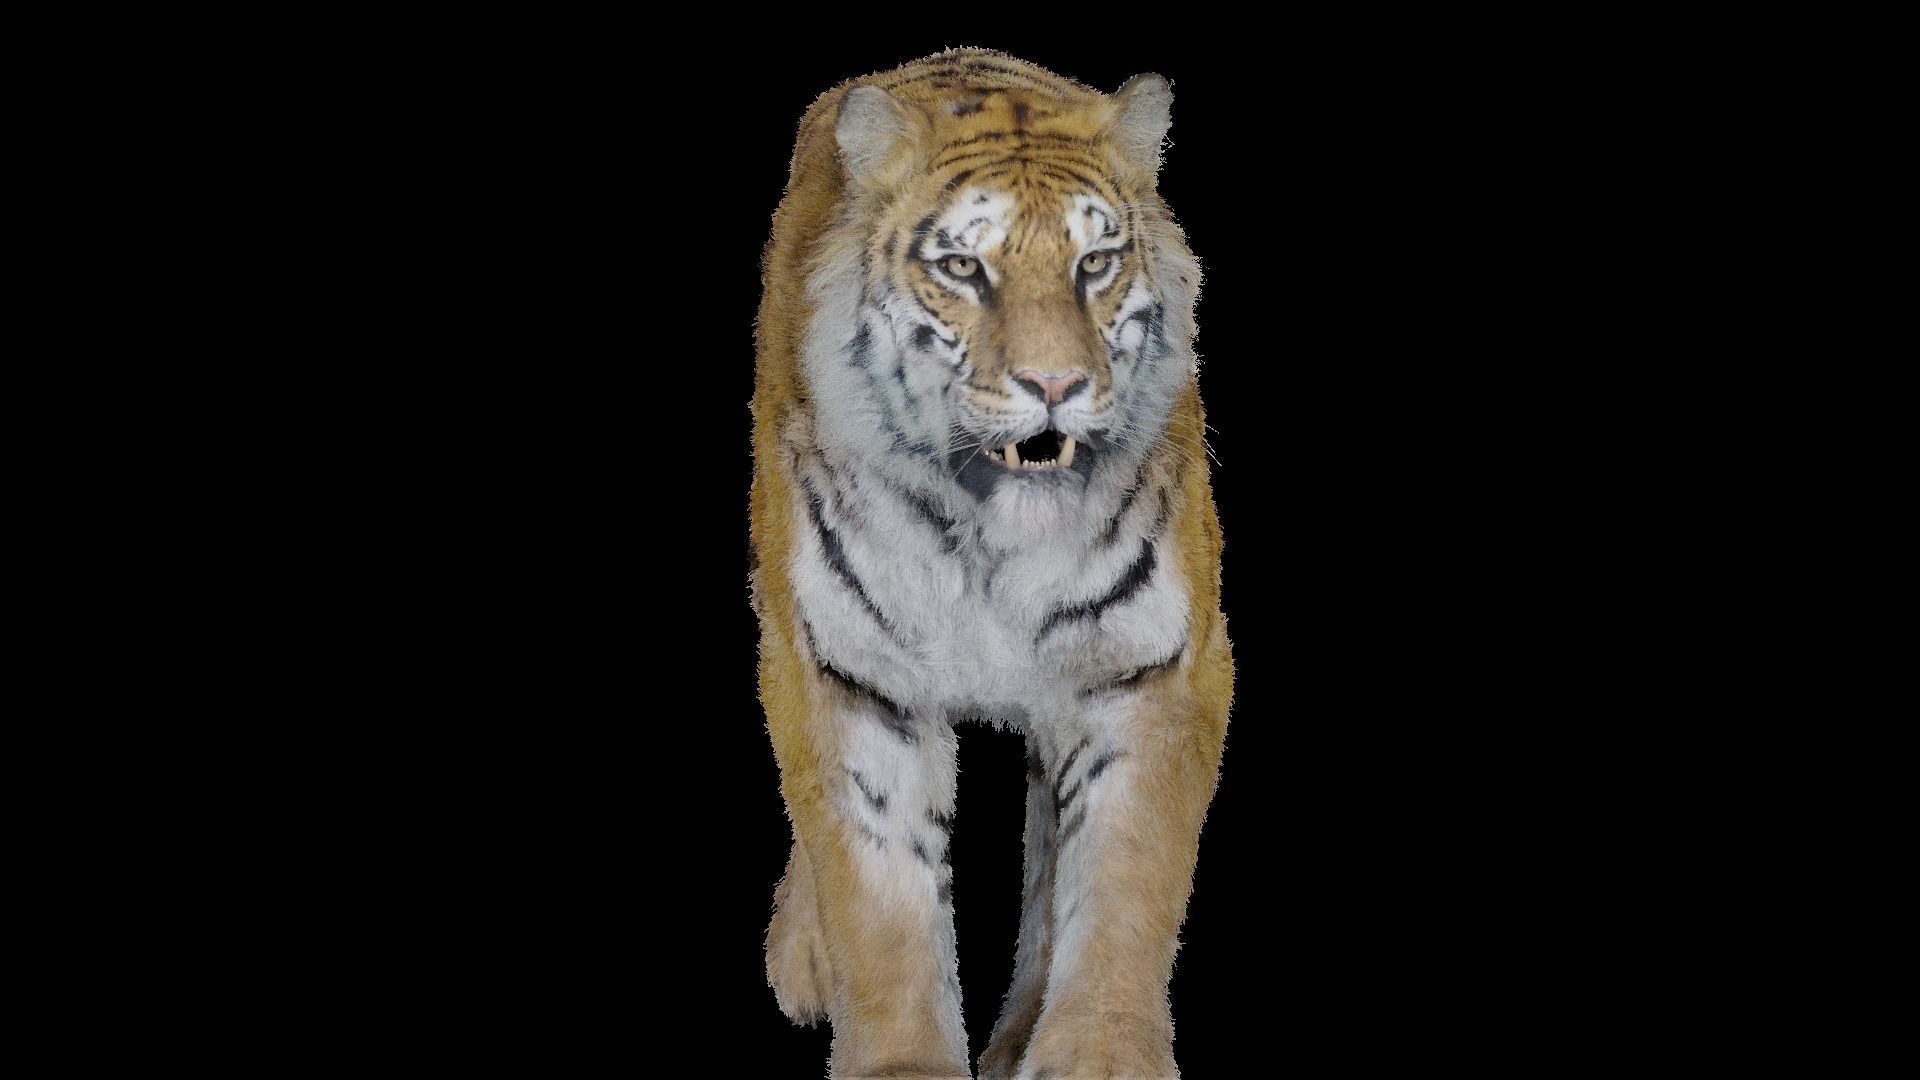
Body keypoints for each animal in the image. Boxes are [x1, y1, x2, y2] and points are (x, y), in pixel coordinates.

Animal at [750, 48, 1231, 1080]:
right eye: (965, 268)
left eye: (1095, 263)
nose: (1056, 385)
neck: (993, 538)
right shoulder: (853, 673)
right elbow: (878, 894)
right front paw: (898, 1065)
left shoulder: (1149, 666)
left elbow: (1122, 877)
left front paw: (1099, 1055)